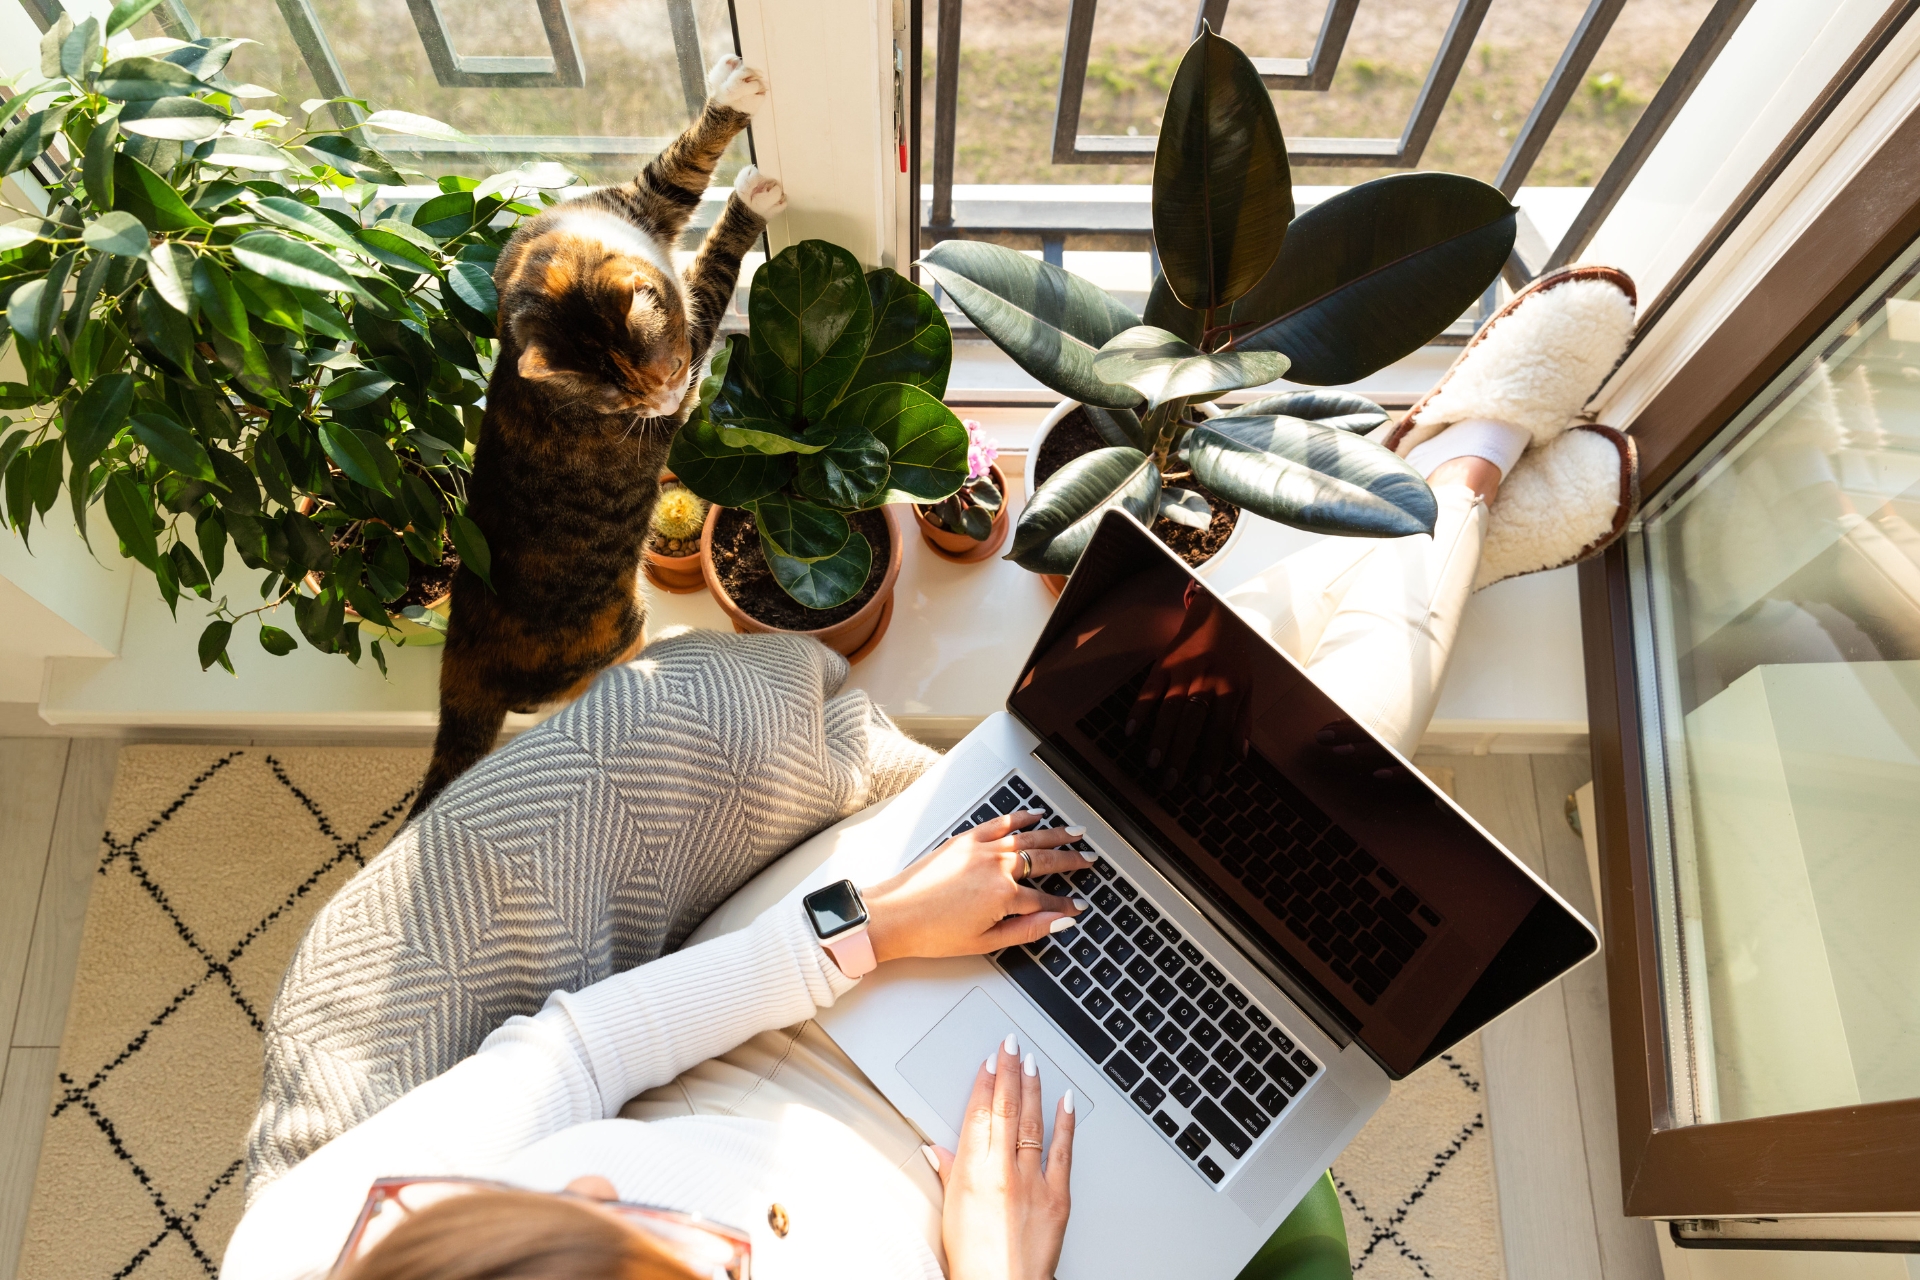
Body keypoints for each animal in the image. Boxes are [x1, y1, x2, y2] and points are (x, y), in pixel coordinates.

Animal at [410, 55, 787, 817]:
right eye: (627, 398)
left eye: (659, 370)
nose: (669, 397)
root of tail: (461, 662)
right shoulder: (695, 333)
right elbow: (711, 270)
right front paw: (751, 199)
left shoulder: (639, 202)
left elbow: (680, 164)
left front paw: (731, 94)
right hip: (614, 625)